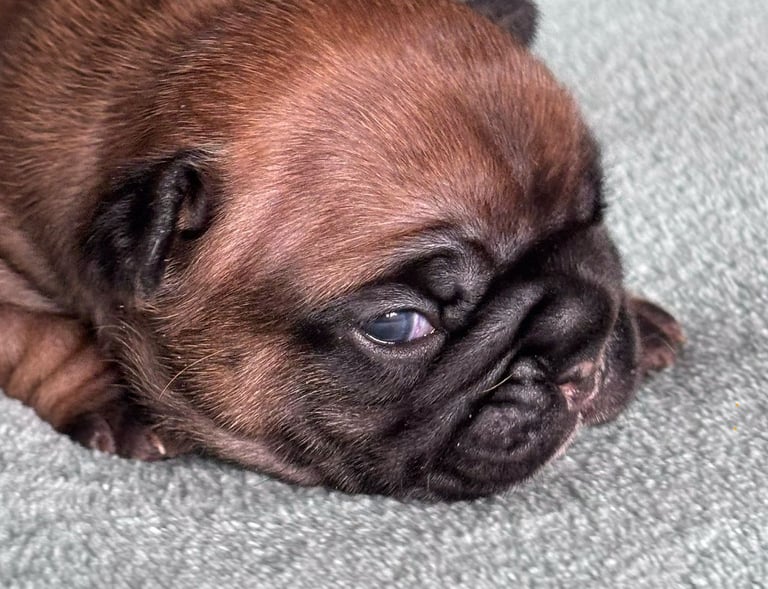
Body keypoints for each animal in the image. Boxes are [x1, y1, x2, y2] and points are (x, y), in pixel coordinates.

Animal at [0, 0, 683, 500]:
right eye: (397, 325)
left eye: (596, 218)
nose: (587, 337)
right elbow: (46, 335)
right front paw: (119, 399)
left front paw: (638, 316)